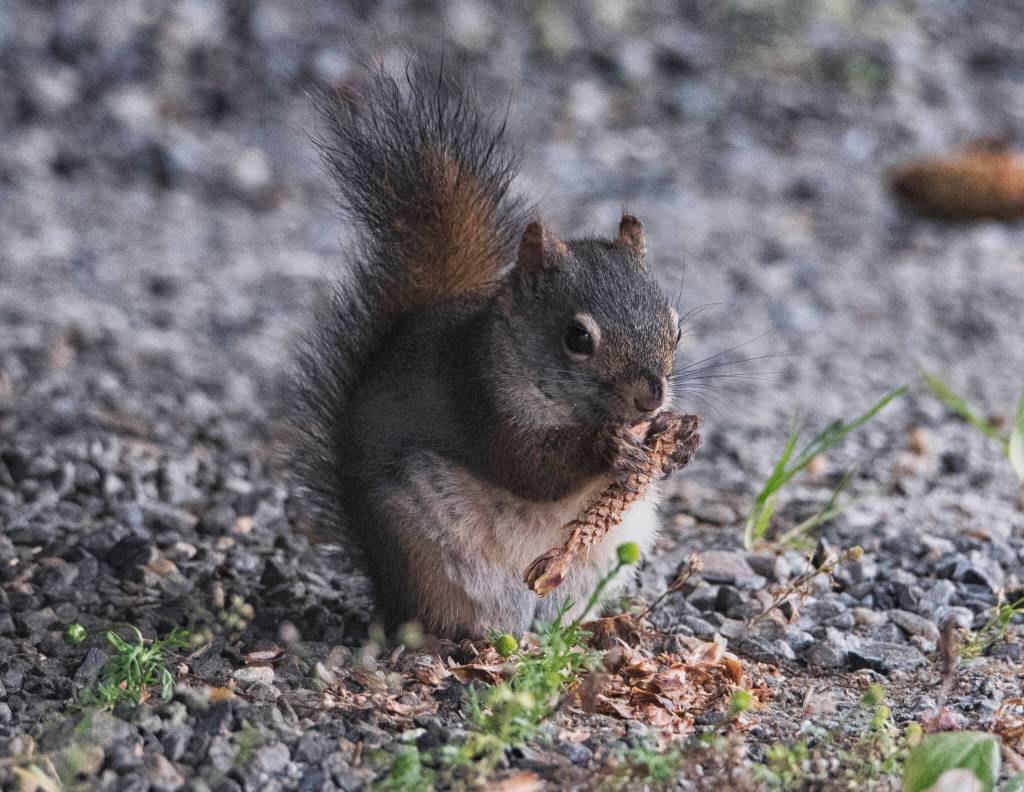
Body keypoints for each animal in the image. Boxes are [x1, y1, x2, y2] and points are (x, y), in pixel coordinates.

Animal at [286, 62, 686, 639]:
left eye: (676, 328)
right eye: (577, 338)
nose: (651, 398)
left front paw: (677, 441)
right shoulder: (478, 398)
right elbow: (528, 467)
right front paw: (608, 448)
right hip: (423, 556)